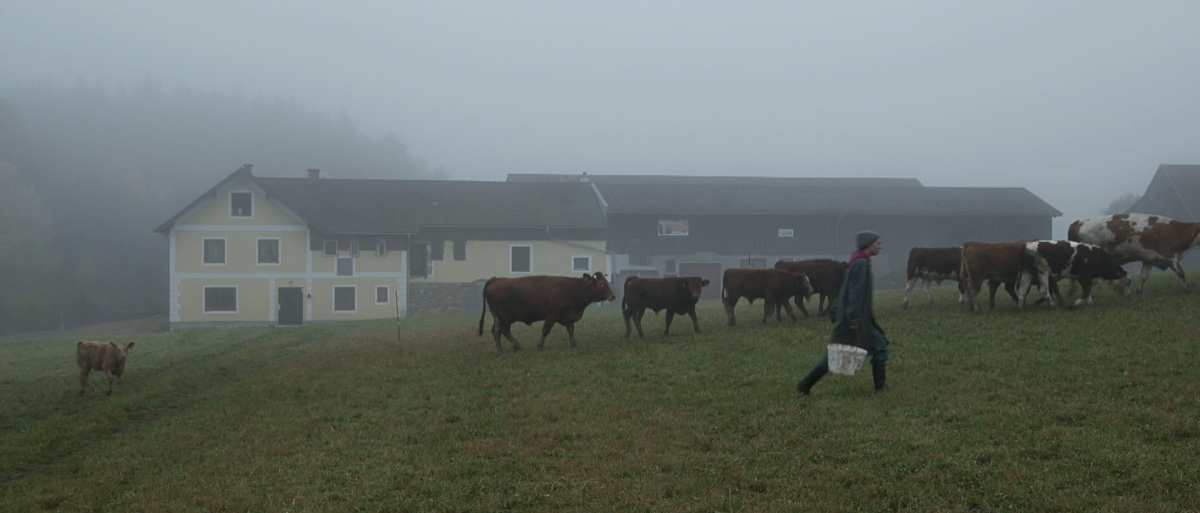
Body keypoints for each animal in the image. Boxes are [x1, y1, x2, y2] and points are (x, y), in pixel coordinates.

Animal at [475, 272, 614, 352]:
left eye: (606, 282)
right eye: (601, 283)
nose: (613, 296)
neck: (572, 289)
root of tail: (495, 280)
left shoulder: (568, 316)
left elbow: (570, 330)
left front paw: (573, 344)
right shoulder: (551, 316)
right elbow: (545, 331)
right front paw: (540, 346)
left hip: (501, 317)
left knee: (501, 331)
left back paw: (514, 346)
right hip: (504, 317)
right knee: (499, 330)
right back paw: (501, 350)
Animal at [1070, 212, 1200, 292]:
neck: (1177, 232)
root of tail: (1077, 222)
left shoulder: (1150, 259)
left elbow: (1143, 276)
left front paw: (1139, 292)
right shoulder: (1169, 256)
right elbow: (1181, 273)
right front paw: (1187, 290)